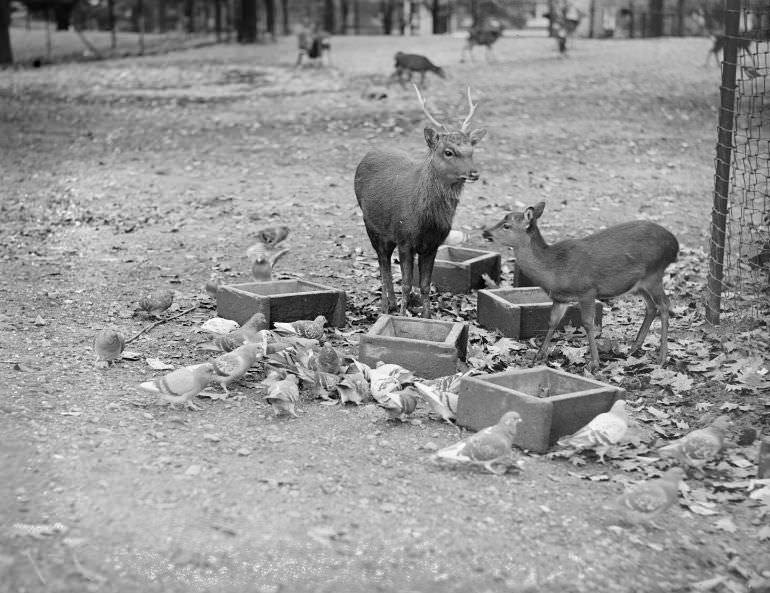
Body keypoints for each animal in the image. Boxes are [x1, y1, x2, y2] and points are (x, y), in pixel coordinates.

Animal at [356, 85, 486, 316]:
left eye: (472, 151)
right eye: (448, 152)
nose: (474, 173)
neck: (425, 221)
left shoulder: (433, 244)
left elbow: (425, 285)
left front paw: (427, 316)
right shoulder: (405, 239)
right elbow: (407, 283)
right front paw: (402, 315)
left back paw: (390, 303)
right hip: (371, 224)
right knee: (382, 261)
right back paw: (385, 306)